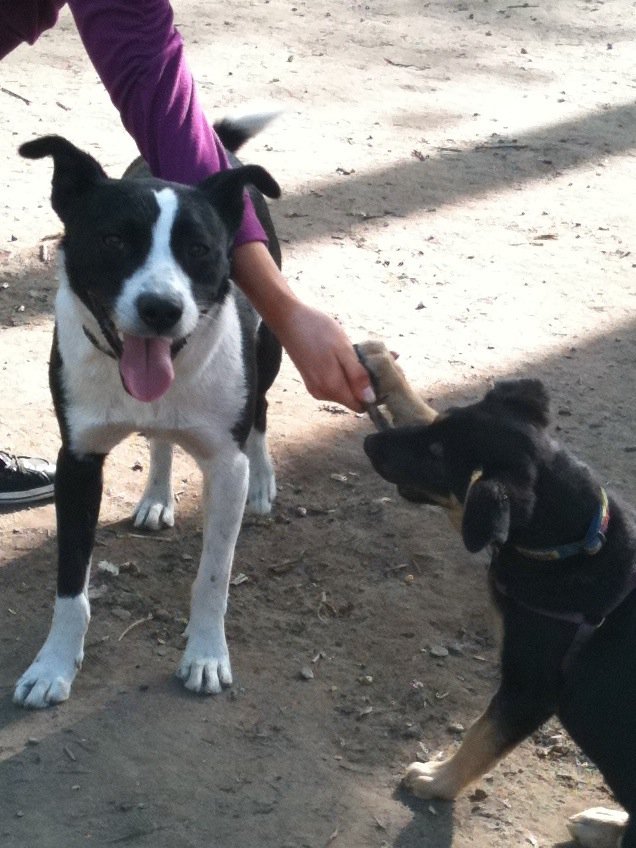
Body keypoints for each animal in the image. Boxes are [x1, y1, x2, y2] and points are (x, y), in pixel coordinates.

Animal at [13, 114, 282, 708]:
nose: (161, 309)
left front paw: (205, 654)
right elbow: (71, 583)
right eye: (114, 240)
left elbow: (213, 577)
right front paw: (52, 665)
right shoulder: (77, 461)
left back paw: (262, 480)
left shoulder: (224, 466)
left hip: (269, 346)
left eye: (199, 248)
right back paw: (157, 497)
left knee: (260, 411)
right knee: (160, 439)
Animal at [362, 374, 636, 844]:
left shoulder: (529, 691)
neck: (570, 544)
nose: (368, 441)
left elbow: (481, 737)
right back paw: (604, 823)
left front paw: (438, 779)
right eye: (438, 428)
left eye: (438, 455)